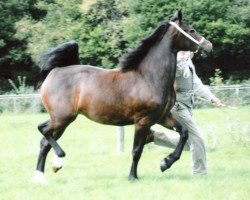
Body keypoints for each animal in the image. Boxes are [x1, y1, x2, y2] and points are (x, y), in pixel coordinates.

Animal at [32, 10, 213, 184]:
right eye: (191, 30)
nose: (209, 47)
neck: (149, 77)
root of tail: (55, 71)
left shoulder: (162, 117)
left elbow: (184, 133)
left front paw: (165, 163)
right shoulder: (143, 121)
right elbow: (137, 150)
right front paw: (133, 177)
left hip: (62, 120)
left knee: (44, 142)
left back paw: (41, 175)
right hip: (63, 118)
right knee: (43, 130)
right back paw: (58, 160)